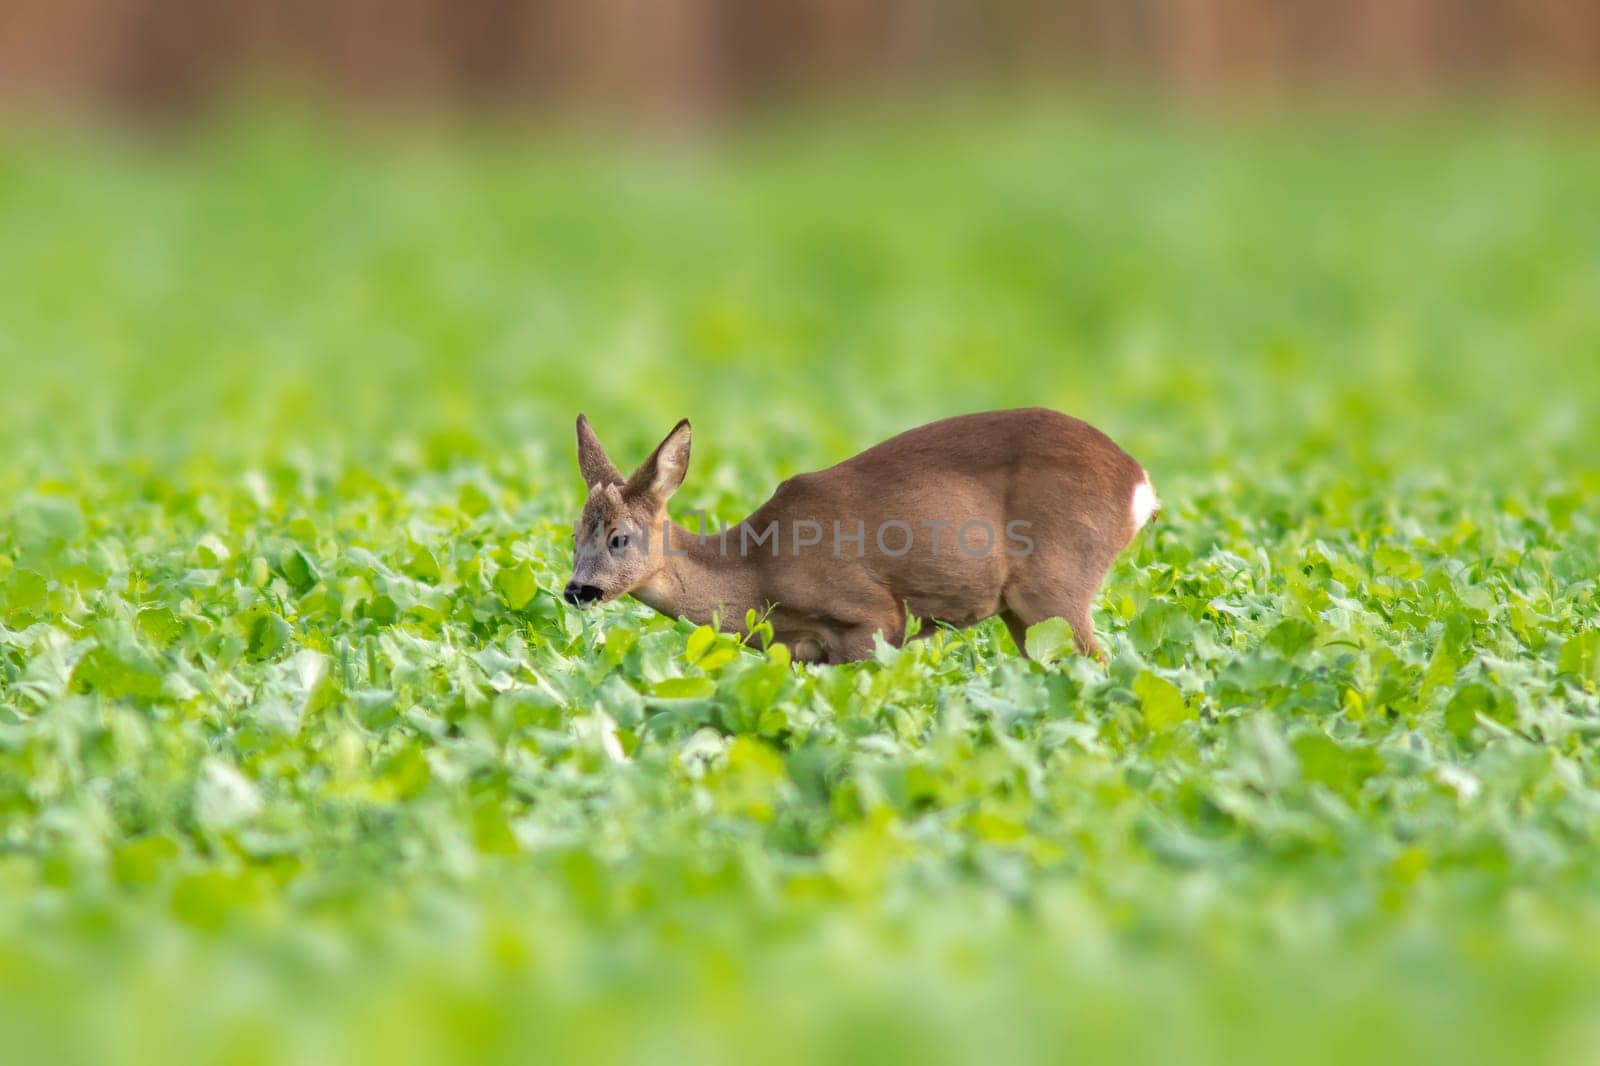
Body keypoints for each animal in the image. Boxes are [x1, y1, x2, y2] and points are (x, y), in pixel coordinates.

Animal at [569, 408, 1158, 665]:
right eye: (573, 534)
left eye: (619, 537)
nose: (578, 590)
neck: (756, 574)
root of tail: (1141, 484)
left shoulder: (871, 617)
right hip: (1025, 613)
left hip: (1055, 584)